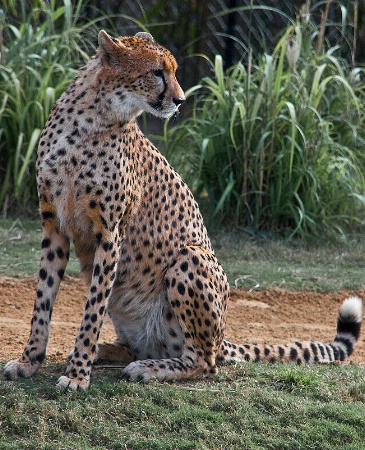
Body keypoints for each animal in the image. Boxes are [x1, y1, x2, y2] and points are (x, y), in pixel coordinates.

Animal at [3, 31, 362, 390]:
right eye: (157, 72)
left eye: (173, 71)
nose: (179, 100)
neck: (91, 120)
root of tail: (222, 337)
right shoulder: (54, 225)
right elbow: (43, 299)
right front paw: (29, 361)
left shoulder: (110, 233)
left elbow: (92, 311)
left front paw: (78, 374)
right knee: (141, 345)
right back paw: (110, 351)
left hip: (190, 258)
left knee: (204, 361)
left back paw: (148, 368)